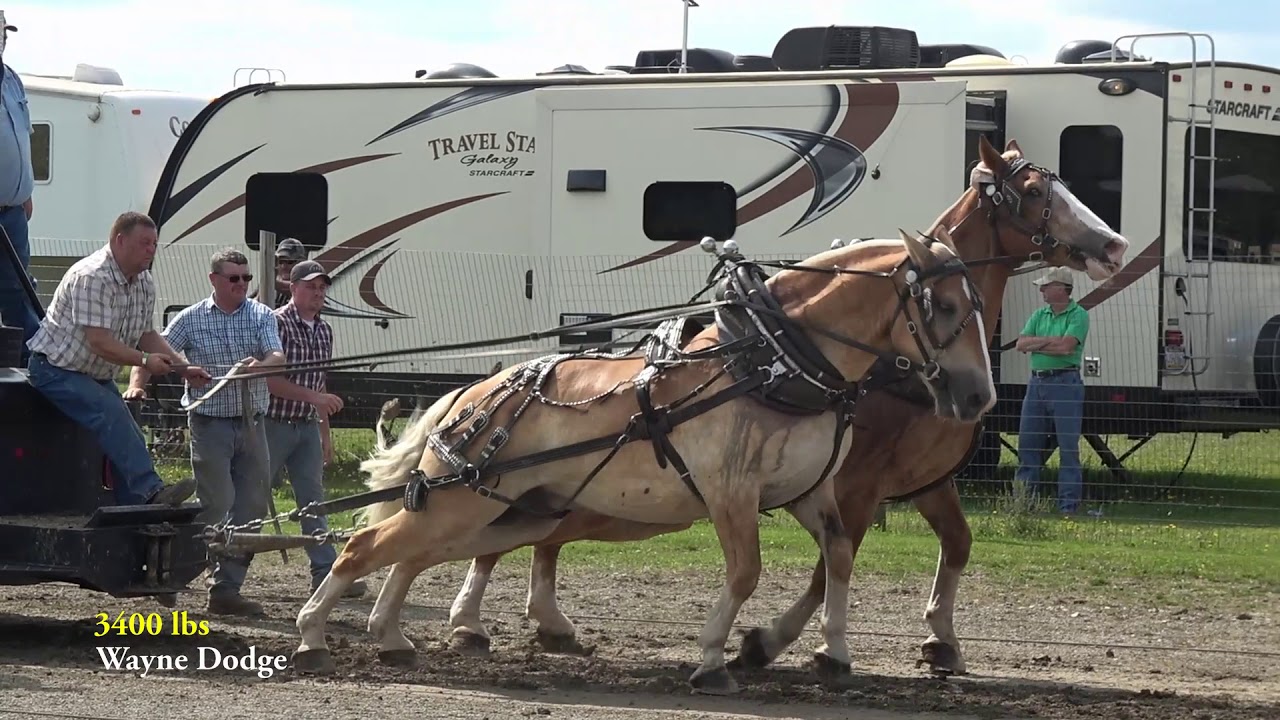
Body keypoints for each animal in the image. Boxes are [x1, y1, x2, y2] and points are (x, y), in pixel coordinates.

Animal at [293, 226, 999, 695]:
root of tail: (473, 391)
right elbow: (746, 572)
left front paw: (834, 651)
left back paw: (390, 637)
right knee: (365, 546)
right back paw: (311, 639)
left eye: (978, 305)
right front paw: (713, 658)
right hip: (464, 501)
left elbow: (839, 558)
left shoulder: (811, 493)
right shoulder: (731, 492)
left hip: (510, 513)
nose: (978, 396)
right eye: (943, 306)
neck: (769, 364)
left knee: (410, 554)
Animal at [426, 136, 1133, 674]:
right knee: (500, 534)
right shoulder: (857, 483)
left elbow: (953, 544)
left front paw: (939, 639)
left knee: (539, 533)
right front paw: (770, 643)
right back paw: (468, 622)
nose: (1115, 245)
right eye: (1035, 191)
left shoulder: (925, 481)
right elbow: (826, 569)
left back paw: (546, 620)